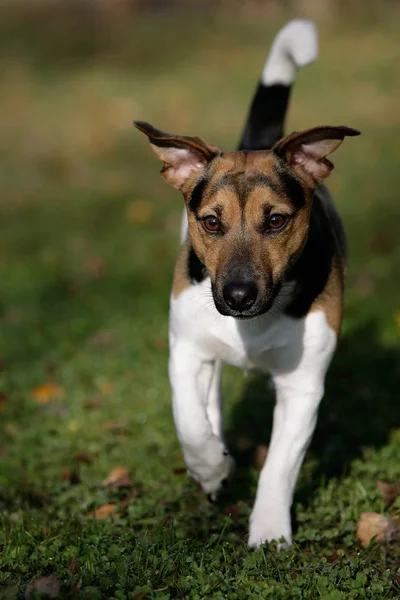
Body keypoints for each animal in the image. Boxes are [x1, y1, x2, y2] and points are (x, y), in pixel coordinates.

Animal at [134, 19, 360, 548]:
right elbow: (189, 418)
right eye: (211, 222)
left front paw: (270, 534)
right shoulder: (186, 349)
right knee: (208, 402)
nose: (238, 296)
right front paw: (212, 469)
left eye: (276, 220)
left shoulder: (303, 385)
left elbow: (279, 465)